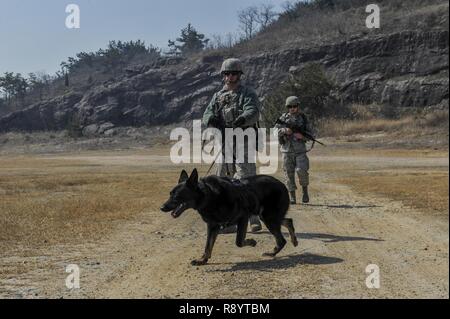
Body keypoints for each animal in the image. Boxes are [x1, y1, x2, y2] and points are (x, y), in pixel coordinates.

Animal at [160, 169, 298, 266]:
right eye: (170, 194)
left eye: (176, 196)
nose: (161, 207)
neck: (208, 196)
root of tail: (282, 184)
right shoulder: (213, 226)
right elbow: (208, 246)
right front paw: (203, 260)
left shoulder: (243, 218)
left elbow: (239, 242)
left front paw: (251, 242)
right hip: (267, 216)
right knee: (288, 221)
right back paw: (293, 240)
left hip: (268, 217)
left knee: (281, 239)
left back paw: (272, 252)